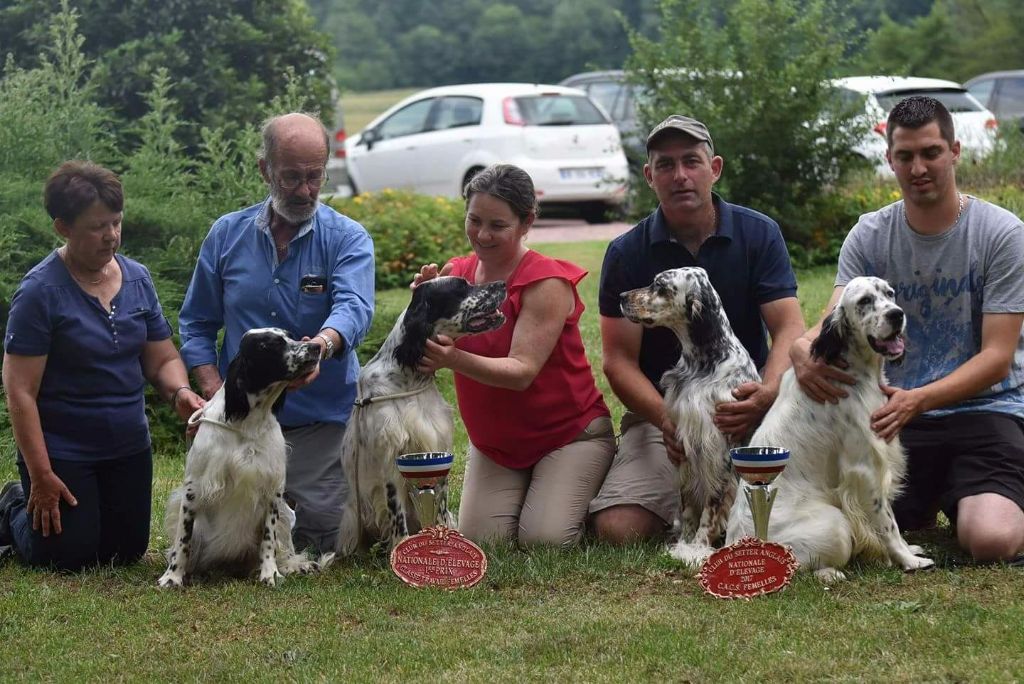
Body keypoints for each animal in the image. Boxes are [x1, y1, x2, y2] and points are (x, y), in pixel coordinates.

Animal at [156, 327, 327, 589]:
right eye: (269, 345)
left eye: (288, 336)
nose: (316, 346)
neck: (248, 422)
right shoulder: (193, 490)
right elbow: (183, 540)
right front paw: (172, 577)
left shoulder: (272, 489)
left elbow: (269, 539)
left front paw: (270, 573)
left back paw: (296, 565)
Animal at [335, 274, 507, 557]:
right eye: (461, 287)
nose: (503, 284)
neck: (407, 378)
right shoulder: (390, 458)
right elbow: (396, 512)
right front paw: (400, 548)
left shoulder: (438, 447)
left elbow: (440, 509)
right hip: (353, 516)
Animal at [614, 266, 761, 565]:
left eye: (659, 286)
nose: (621, 296)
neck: (704, 362)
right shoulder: (683, 443)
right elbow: (688, 505)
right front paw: (683, 543)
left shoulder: (718, 448)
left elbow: (710, 507)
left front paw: (698, 548)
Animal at [729, 274, 937, 581]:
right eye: (865, 301)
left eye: (889, 293)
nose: (896, 315)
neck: (854, 371)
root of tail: (737, 544)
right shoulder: (865, 468)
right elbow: (887, 522)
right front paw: (907, 559)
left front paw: (907, 550)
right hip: (835, 522)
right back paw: (830, 573)